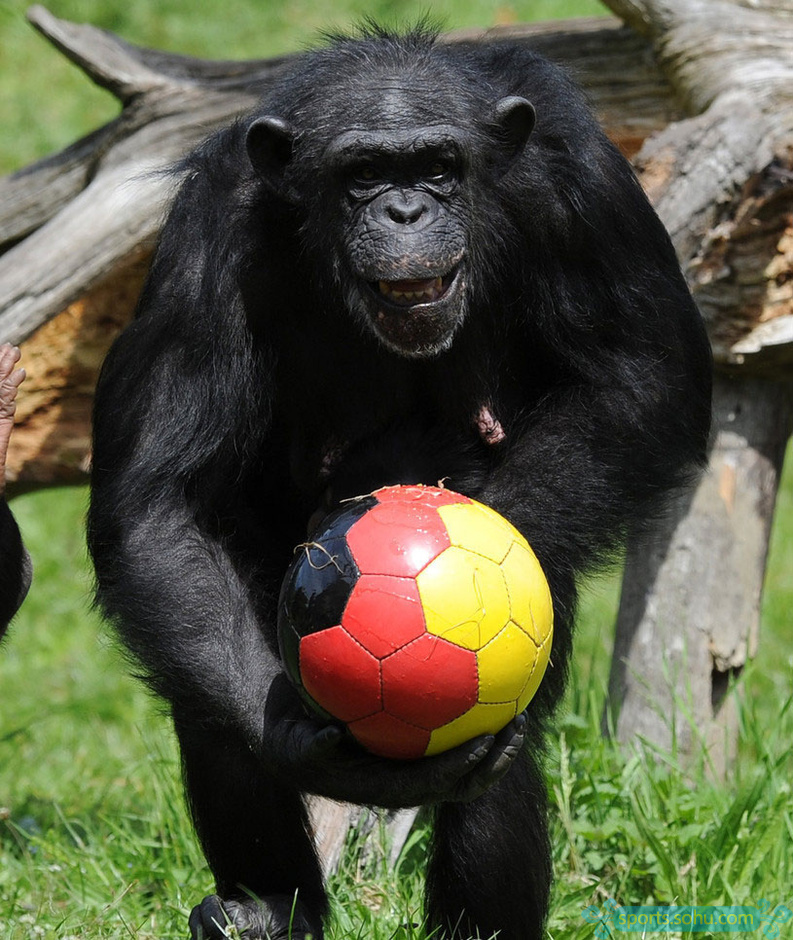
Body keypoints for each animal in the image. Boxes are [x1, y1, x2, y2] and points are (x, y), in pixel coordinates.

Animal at [88, 27, 712, 940]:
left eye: (438, 166)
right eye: (363, 175)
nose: (406, 211)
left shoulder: (582, 181)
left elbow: (639, 372)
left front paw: (469, 537)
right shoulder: (205, 236)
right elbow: (158, 501)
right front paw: (310, 749)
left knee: (497, 750)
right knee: (205, 687)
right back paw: (268, 910)